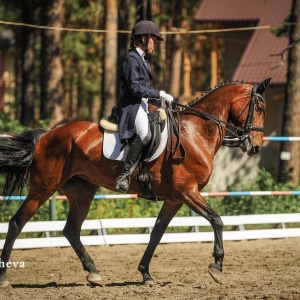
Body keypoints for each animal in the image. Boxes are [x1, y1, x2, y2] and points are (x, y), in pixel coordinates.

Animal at [0, 78, 270, 288]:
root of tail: (46, 135)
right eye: (259, 106)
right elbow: (217, 220)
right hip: (43, 188)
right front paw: (216, 266)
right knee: (16, 223)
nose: (255, 146)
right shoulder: (187, 192)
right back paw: (4, 277)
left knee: (71, 230)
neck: (196, 132)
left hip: (82, 192)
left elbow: (157, 233)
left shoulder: (175, 199)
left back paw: (94, 273)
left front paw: (145, 273)